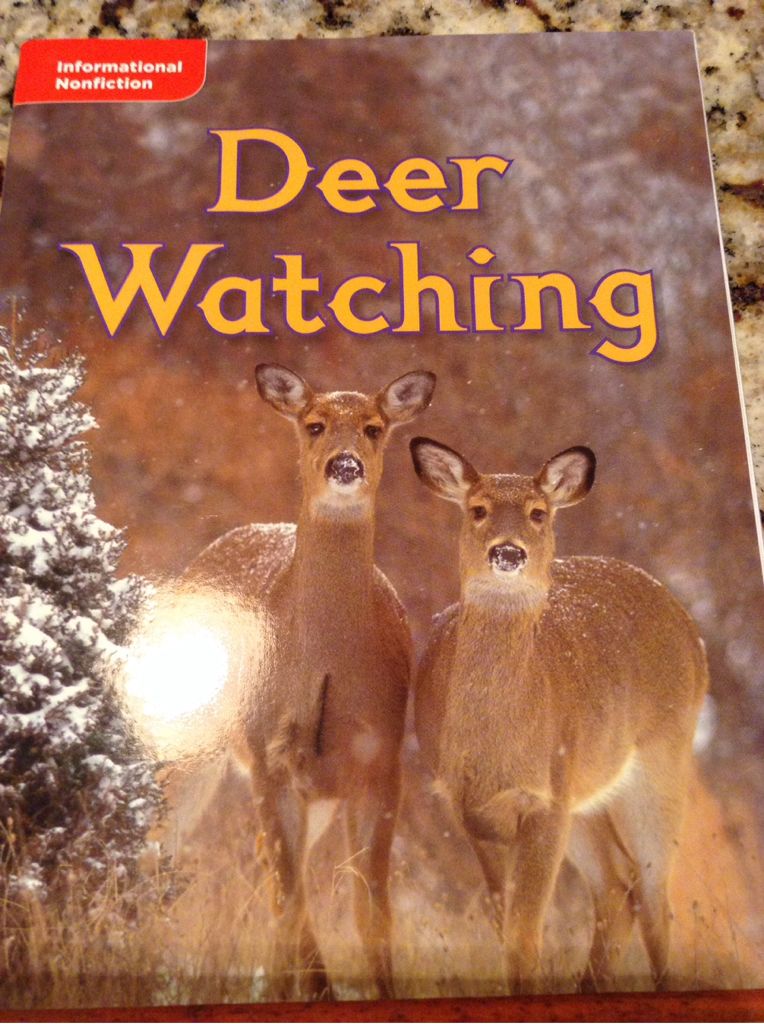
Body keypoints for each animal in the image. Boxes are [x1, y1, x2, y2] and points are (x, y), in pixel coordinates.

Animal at [182, 363, 436, 1001]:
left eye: (373, 427)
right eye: (314, 424)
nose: (344, 465)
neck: (326, 667)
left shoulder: (379, 763)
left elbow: (372, 908)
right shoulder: (272, 762)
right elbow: (296, 903)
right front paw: (319, 995)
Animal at [409, 437, 708, 994]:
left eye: (538, 512)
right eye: (477, 509)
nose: (508, 551)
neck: (494, 748)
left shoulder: (545, 798)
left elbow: (525, 933)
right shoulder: (466, 807)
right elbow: (504, 923)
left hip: (659, 765)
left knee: (656, 895)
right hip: (586, 797)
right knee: (618, 887)